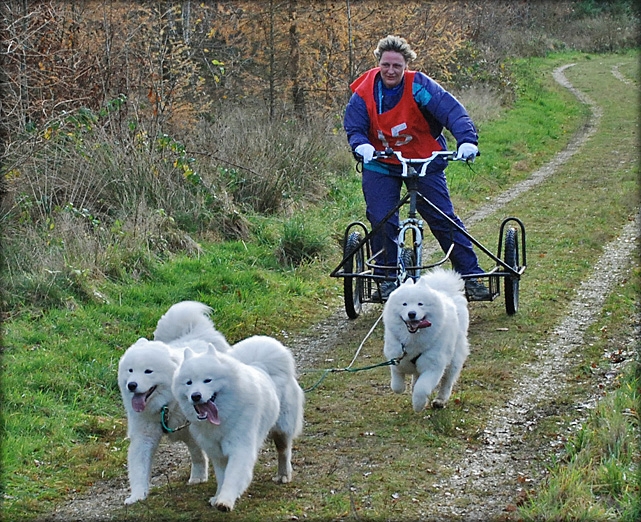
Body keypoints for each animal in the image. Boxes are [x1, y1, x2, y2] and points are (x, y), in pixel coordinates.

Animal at [119, 300, 231, 504]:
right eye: (130, 370)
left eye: (148, 371)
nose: (132, 385)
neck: (166, 407)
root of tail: (196, 330)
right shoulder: (143, 435)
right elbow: (139, 467)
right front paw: (137, 496)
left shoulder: (193, 430)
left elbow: (198, 455)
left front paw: (199, 476)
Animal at [172, 334, 304, 508]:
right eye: (189, 382)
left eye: (208, 380)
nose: (196, 396)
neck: (223, 416)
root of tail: (262, 365)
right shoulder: (216, 452)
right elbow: (222, 477)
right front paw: (217, 496)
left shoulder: (240, 447)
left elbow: (233, 476)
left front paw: (225, 501)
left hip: (282, 429)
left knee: (284, 451)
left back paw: (283, 475)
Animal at [382, 268, 468, 410]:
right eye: (404, 304)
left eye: (420, 304)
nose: (412, 313)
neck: (412, 339)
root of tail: (445, 292)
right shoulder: (396, 357)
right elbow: (396, 383)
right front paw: (401, 388)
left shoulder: (433, 366)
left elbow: (422, 388)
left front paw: (418, 405)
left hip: (454, 359)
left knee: (447, 381)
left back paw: (440, 400)